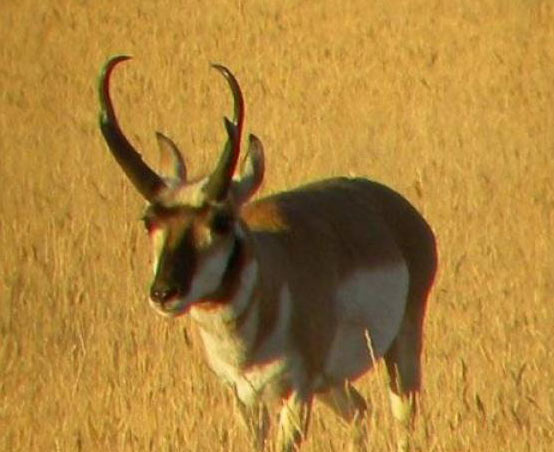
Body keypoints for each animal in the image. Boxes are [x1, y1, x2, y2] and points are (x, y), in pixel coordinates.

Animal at [98, 54, 436, 450]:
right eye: (148, 220)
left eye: (221, 220)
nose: (164, 293)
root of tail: (396, 207)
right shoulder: (244, 400)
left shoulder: (297, 395)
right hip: (331, 383)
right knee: (359, 411)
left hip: (399, 355)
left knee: (403, 422)